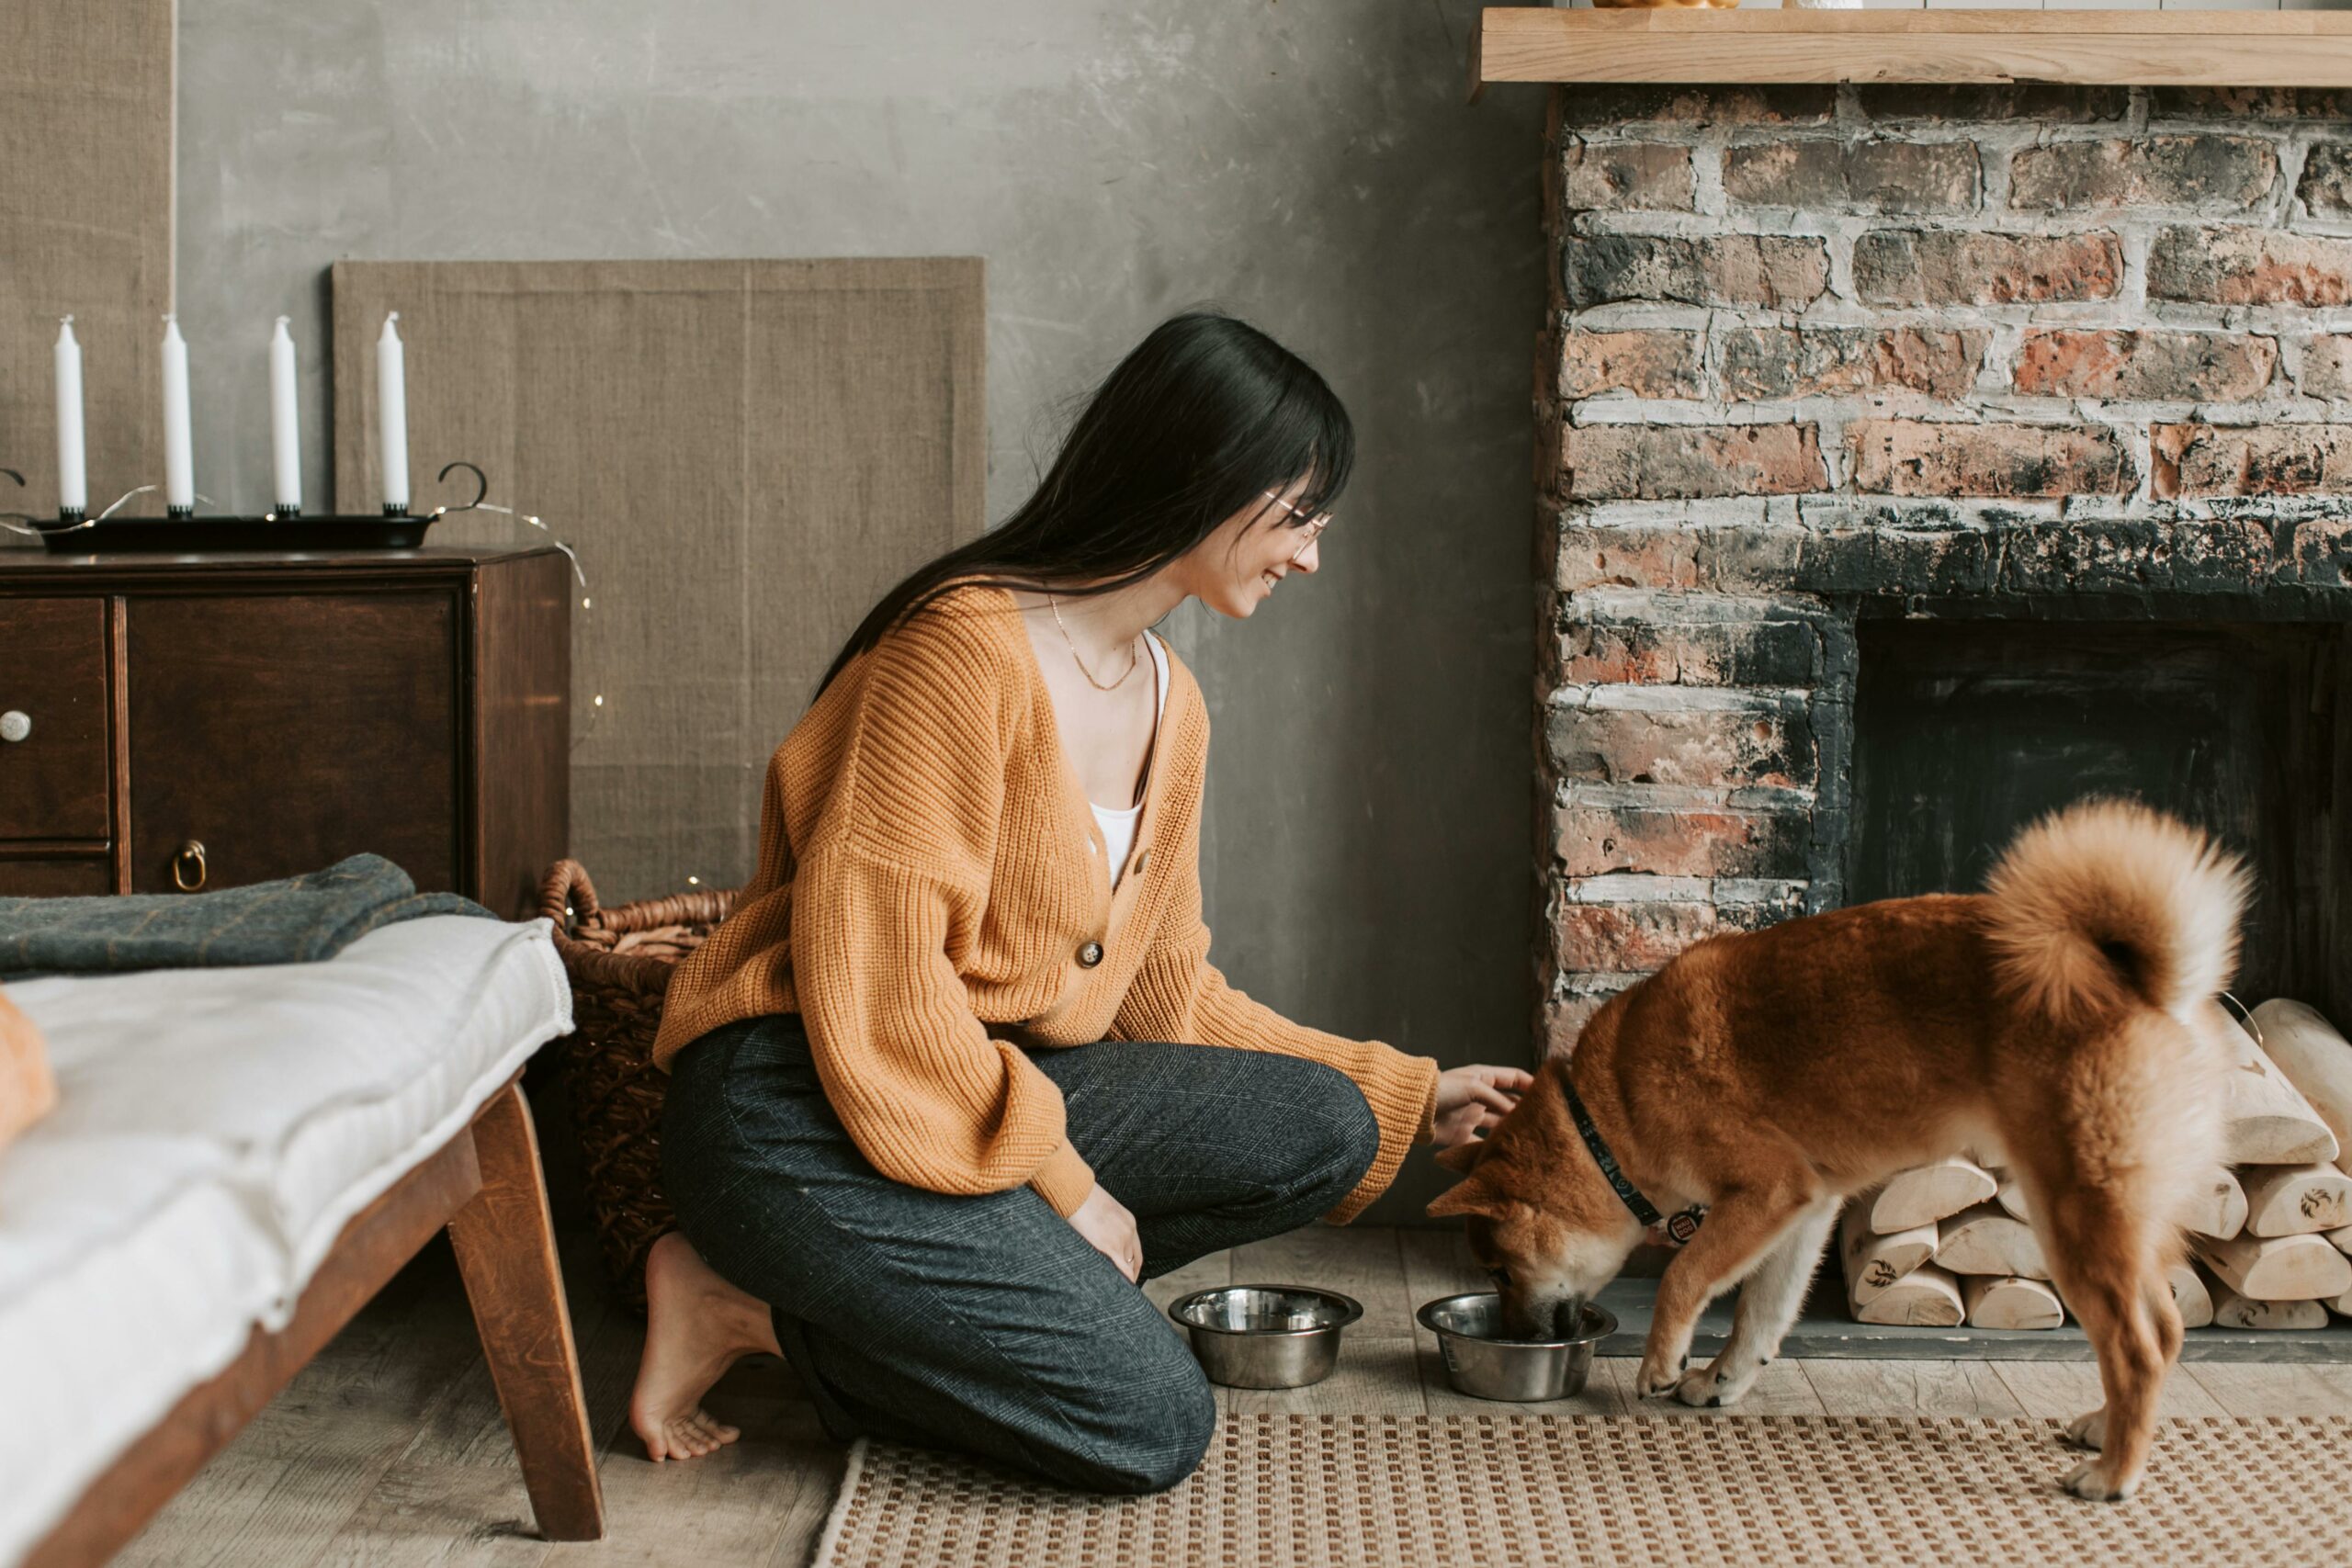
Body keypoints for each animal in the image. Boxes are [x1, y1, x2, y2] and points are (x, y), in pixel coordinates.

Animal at [1420, 804, 2248, 1504]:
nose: (1519, 1333)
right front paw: (1721, 1381)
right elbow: (1762, 1314)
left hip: (2074, 1215)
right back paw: (2104, 1429)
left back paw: (2113, 1473)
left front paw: (1663, 1362)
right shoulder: (1805, 1208)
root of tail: (2135, 979)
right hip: (2121, 1221)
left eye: (1501, 1271)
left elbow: (1686, 1276)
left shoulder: (1768, 1191)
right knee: (2165, 1329)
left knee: (2139, 1345)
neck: (1611, 1109)